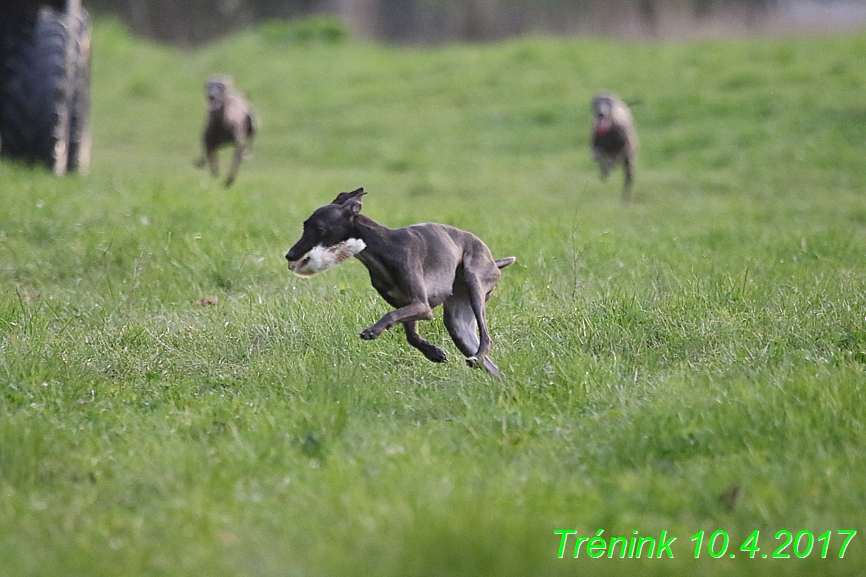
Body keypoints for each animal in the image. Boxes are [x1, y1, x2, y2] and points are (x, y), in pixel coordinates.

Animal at [286, 189, 512, 374]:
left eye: (319, 228)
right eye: (305, 225)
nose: (290, 255)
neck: (386, 246)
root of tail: (494, 261)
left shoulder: (421, 305)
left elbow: (391, 315)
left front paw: (372, 331)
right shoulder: (407, 304)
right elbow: (411, 335)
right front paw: (433, 352)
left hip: (475, 282)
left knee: (487, 339)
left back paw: (480, 356)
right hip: (458, 325)